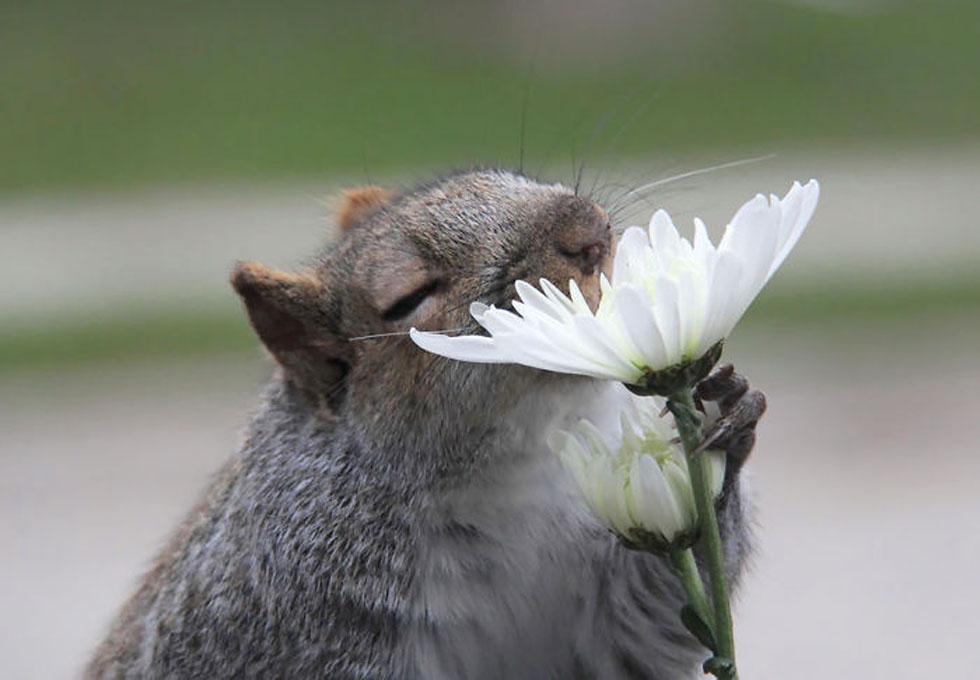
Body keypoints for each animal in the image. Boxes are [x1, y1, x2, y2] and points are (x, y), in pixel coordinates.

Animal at [86, 170, 764, 680]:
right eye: (410, 297)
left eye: (507, 176)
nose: (587, 228)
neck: (510, 470)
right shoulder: (293, 614)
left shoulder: (604, 611)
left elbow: (654, 618)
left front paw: (724, 414)